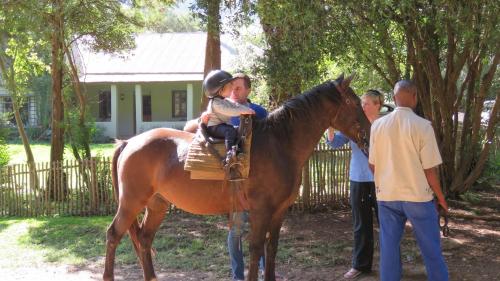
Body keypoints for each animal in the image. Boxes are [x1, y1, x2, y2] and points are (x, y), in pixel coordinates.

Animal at [103, 74, 372, 280]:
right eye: (353, 102)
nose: (369, 132)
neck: (279, 144)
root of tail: (129, 142)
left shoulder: (279, 212)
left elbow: (271, 249)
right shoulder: (261, 211)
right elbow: (255, 249)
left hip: (157, 205)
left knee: (144, 240)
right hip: (131, 203)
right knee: (114, 235)